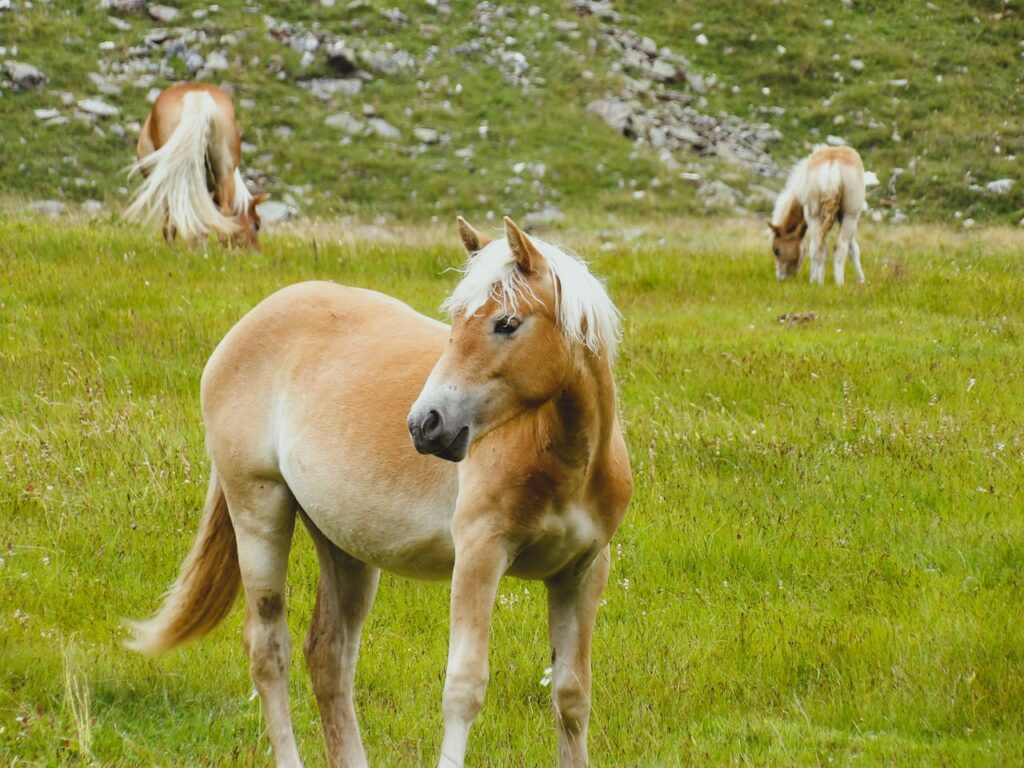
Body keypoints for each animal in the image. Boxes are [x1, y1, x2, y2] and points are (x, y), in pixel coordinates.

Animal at [127, 216, 634, 768]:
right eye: (457, 320)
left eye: (507, 323)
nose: (425, 424)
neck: (561, 458)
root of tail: (249, 323)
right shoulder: (479, 557)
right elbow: (464, 689)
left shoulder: (581, 572)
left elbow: (571, 696)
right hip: (258, 511)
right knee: (268, 652)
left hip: (343, 545)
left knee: (328, 656)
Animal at [769, 145, 867, 285]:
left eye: (777, 250)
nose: (781, 278)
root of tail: (833, 164)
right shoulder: (843, 217)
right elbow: (853, 249)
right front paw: (861, 280)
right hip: (850, 216)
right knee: (836, 247)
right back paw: (837, 283)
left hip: (816, 216)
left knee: (819, 247)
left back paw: (819, 283)